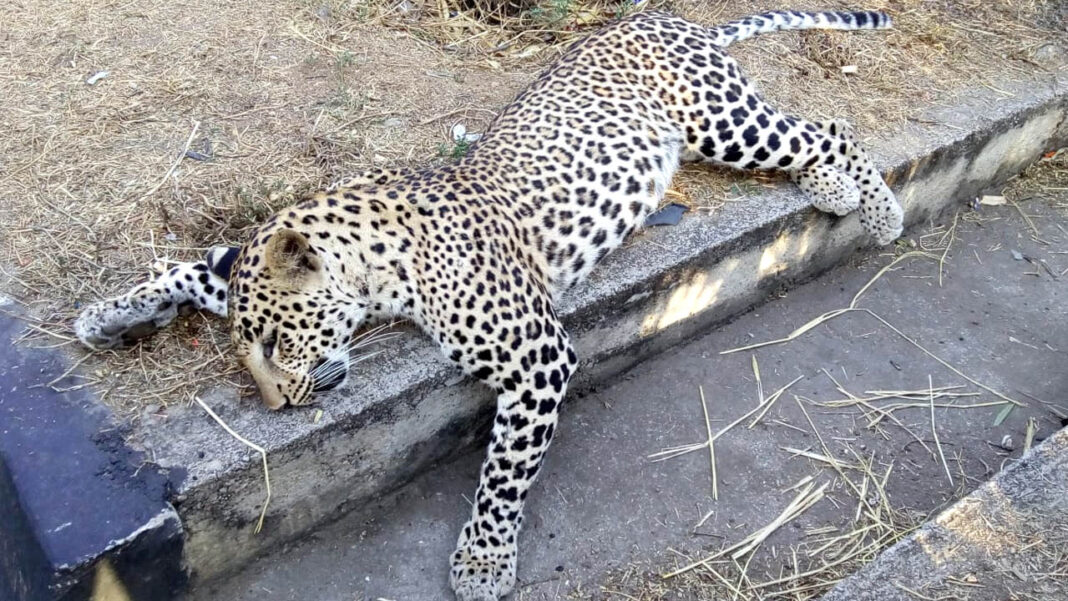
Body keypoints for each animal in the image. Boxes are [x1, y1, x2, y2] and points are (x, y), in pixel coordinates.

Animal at [74, 9, 903, 600]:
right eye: (250, 350)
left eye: (278, 342)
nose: (277, 405)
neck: (379, 258)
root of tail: (657, 18)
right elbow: (194, 271)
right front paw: (108, 315)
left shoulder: (537, 356)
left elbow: (504, 469)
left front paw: (481, 560)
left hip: (721, 120)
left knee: (828, 128)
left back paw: (870, 204)